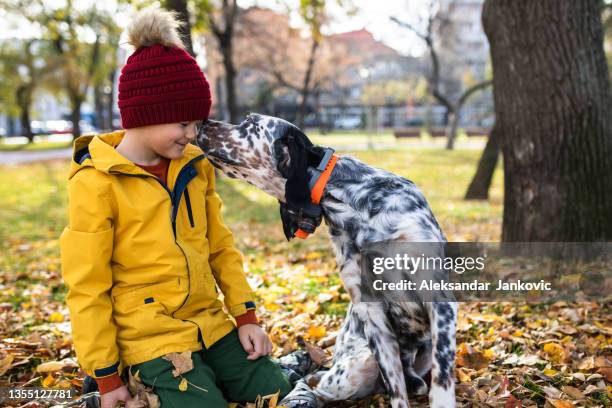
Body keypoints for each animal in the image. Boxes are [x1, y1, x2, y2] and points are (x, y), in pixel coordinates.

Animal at [194, 114, 456, 408]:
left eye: (250, 123)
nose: (202, 121)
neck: (352, 209)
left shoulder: (439, 300)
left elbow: (442, 379)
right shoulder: (374, 319)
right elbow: (396, 393)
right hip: (352, 369)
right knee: (311, 381)